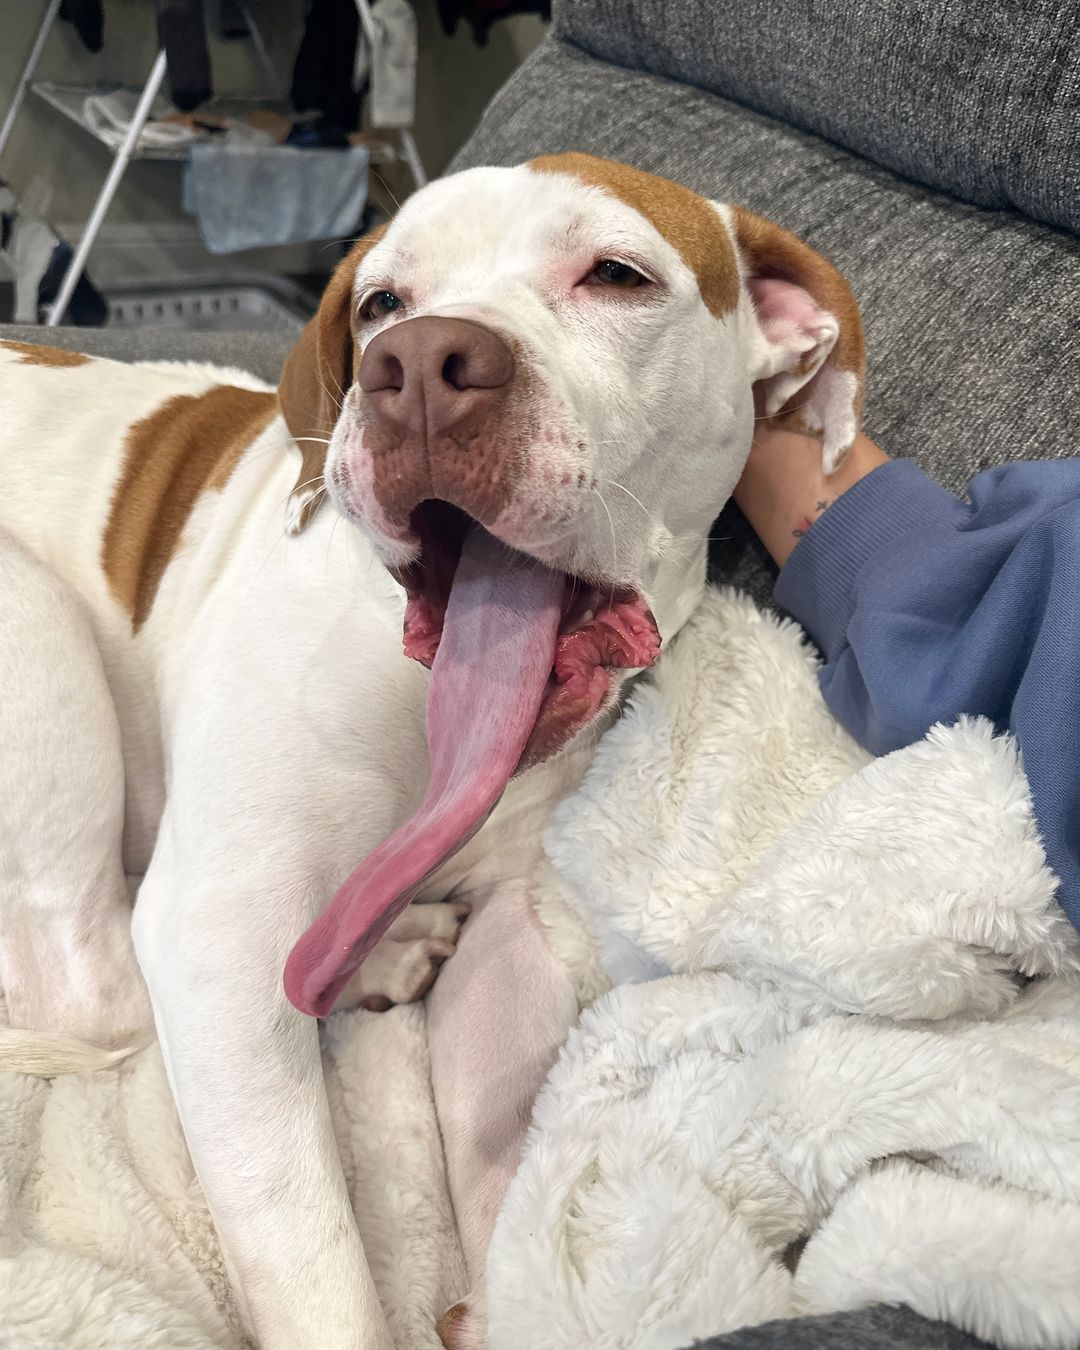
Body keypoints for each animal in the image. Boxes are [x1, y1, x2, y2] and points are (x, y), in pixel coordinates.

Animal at [0, 155, 864, 1350]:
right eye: (380, 304)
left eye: (617, 274)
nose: (415, 368)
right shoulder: (216, 933)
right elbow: (317, 1272)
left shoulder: (519, 931)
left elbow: (514, 1160)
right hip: (32, 620)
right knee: (93, 990)